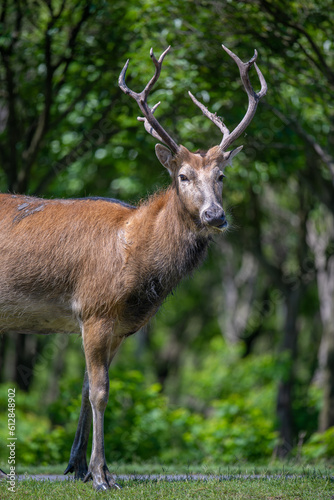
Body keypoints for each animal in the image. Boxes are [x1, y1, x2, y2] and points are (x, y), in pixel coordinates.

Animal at [0, 45, 266, 490]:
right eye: (183, 176)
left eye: (222, 176)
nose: (215, 215)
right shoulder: (94, 309)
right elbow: (99, 392)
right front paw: (99, 475)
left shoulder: (118, 325)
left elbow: (88, 389)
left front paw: (85, 469)